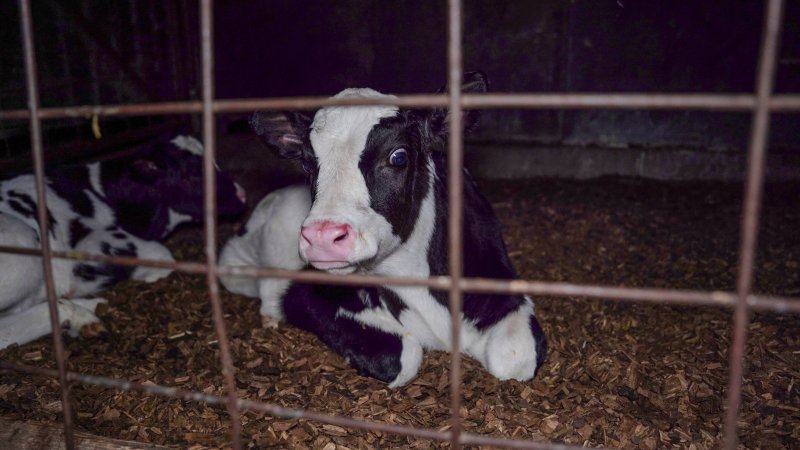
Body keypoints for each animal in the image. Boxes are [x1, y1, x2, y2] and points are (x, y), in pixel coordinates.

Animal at [219, 72, 546, 387]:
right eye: (308, 164)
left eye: (398, 156)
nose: (323, 236)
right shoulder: (306, 292)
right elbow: (402, 356)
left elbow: (513, 359)